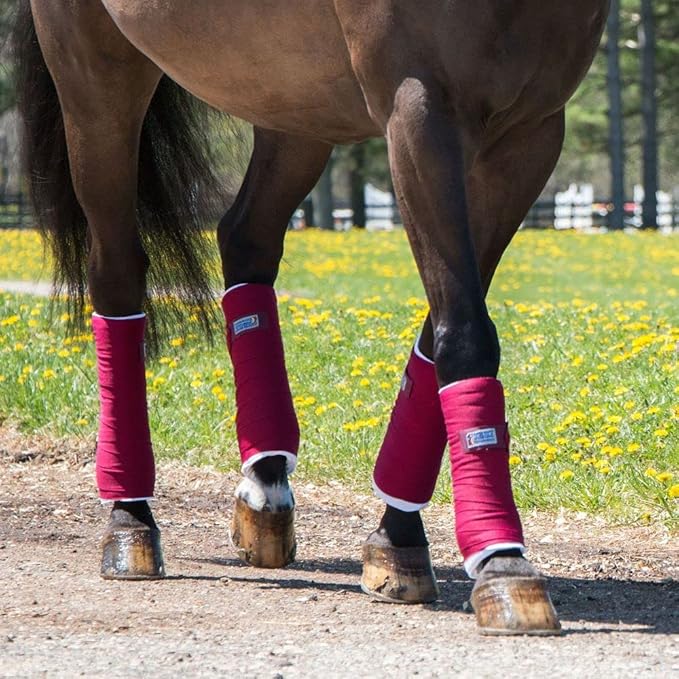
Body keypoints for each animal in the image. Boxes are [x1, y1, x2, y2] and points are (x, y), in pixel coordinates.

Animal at [13, 0, 609, 635]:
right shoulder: (419, 111)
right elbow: (465, 333)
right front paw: (501, 559)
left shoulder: (529, 136)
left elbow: (440, 333)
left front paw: (397, 539)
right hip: (96, 79)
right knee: (117, 275)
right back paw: (130, 520)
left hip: (289, 99)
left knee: (245, 239)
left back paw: (266, 477)